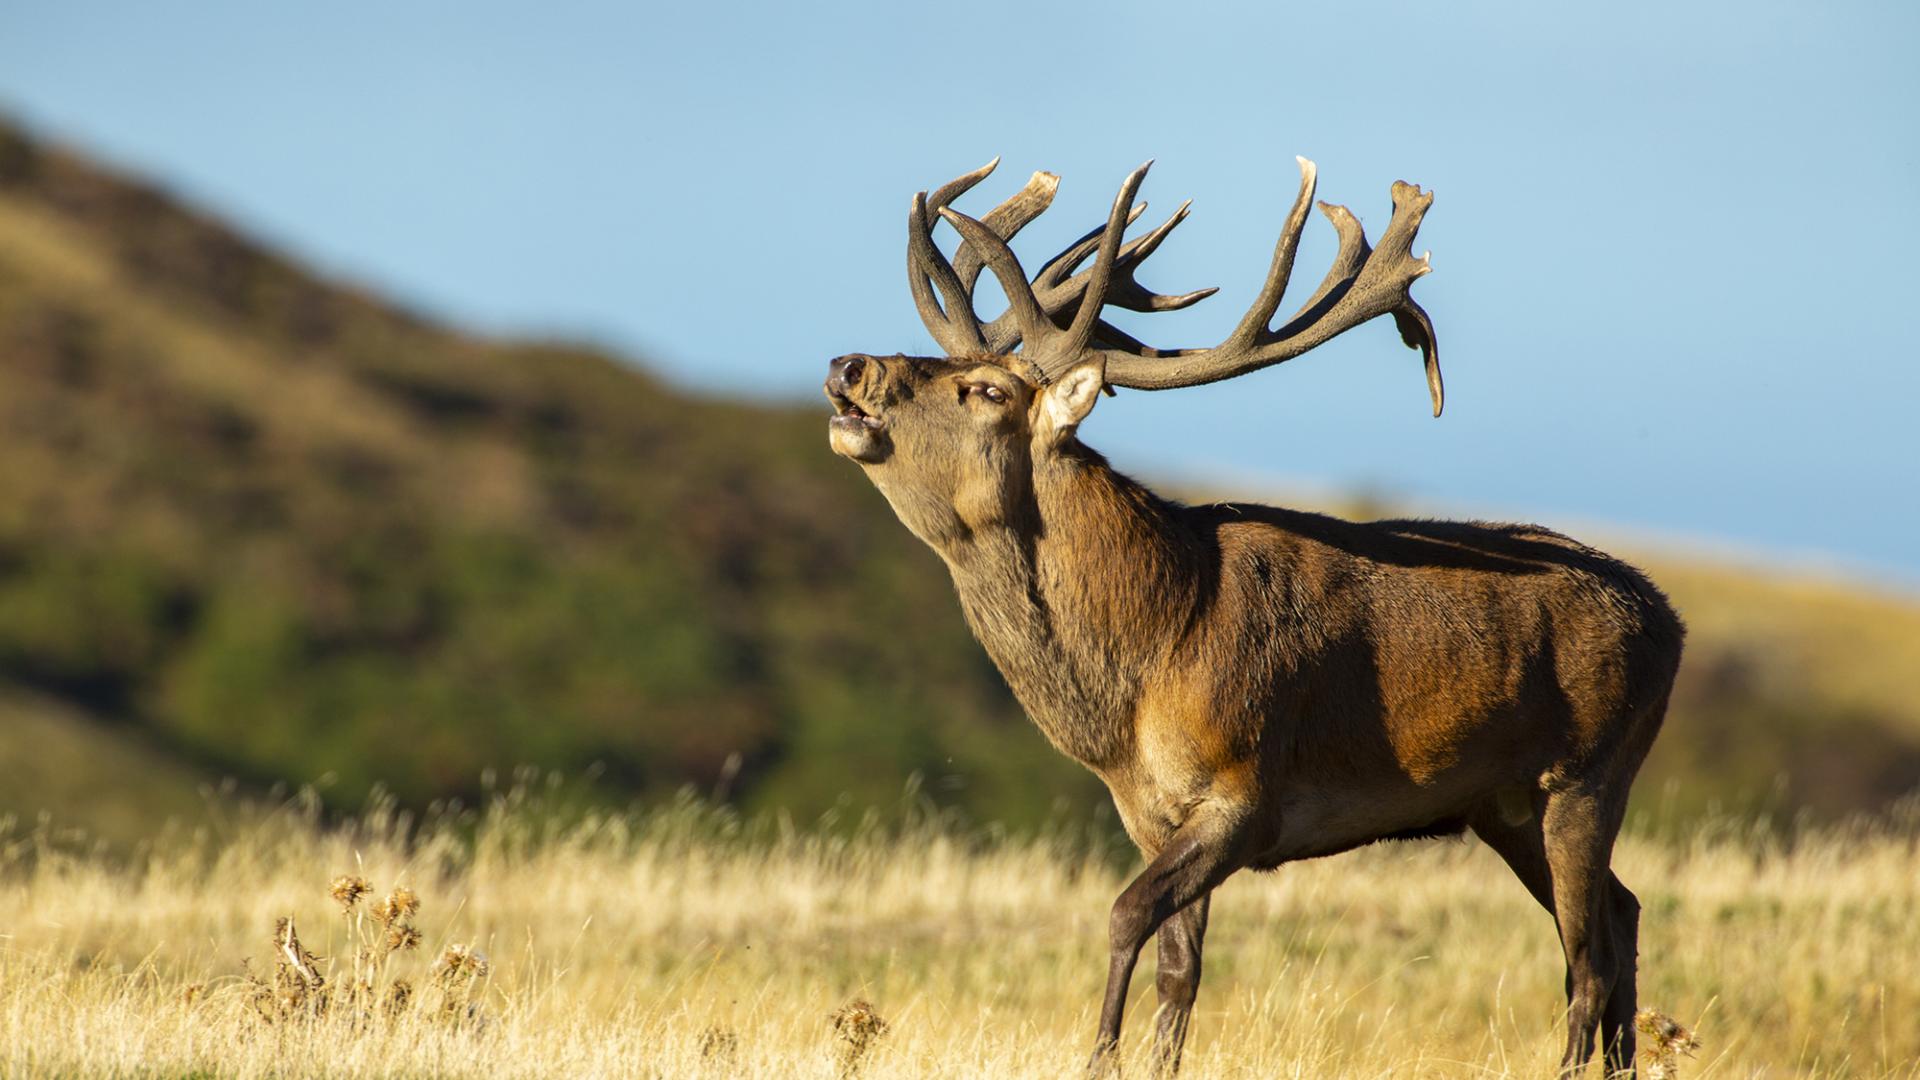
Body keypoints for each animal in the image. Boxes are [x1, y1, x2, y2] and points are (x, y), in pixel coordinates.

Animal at [823, 155, 1684, 1078]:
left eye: (983, 390)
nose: (849, 365)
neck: (1153, 653)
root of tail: (1671, 622)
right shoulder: (1150, 812)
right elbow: (1180, 971)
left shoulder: (1246, 791)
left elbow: (1125, 916)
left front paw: (1098, 1057)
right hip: (1506, 805)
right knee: (1622, 914)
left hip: (1589, 772)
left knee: (1587, 958)